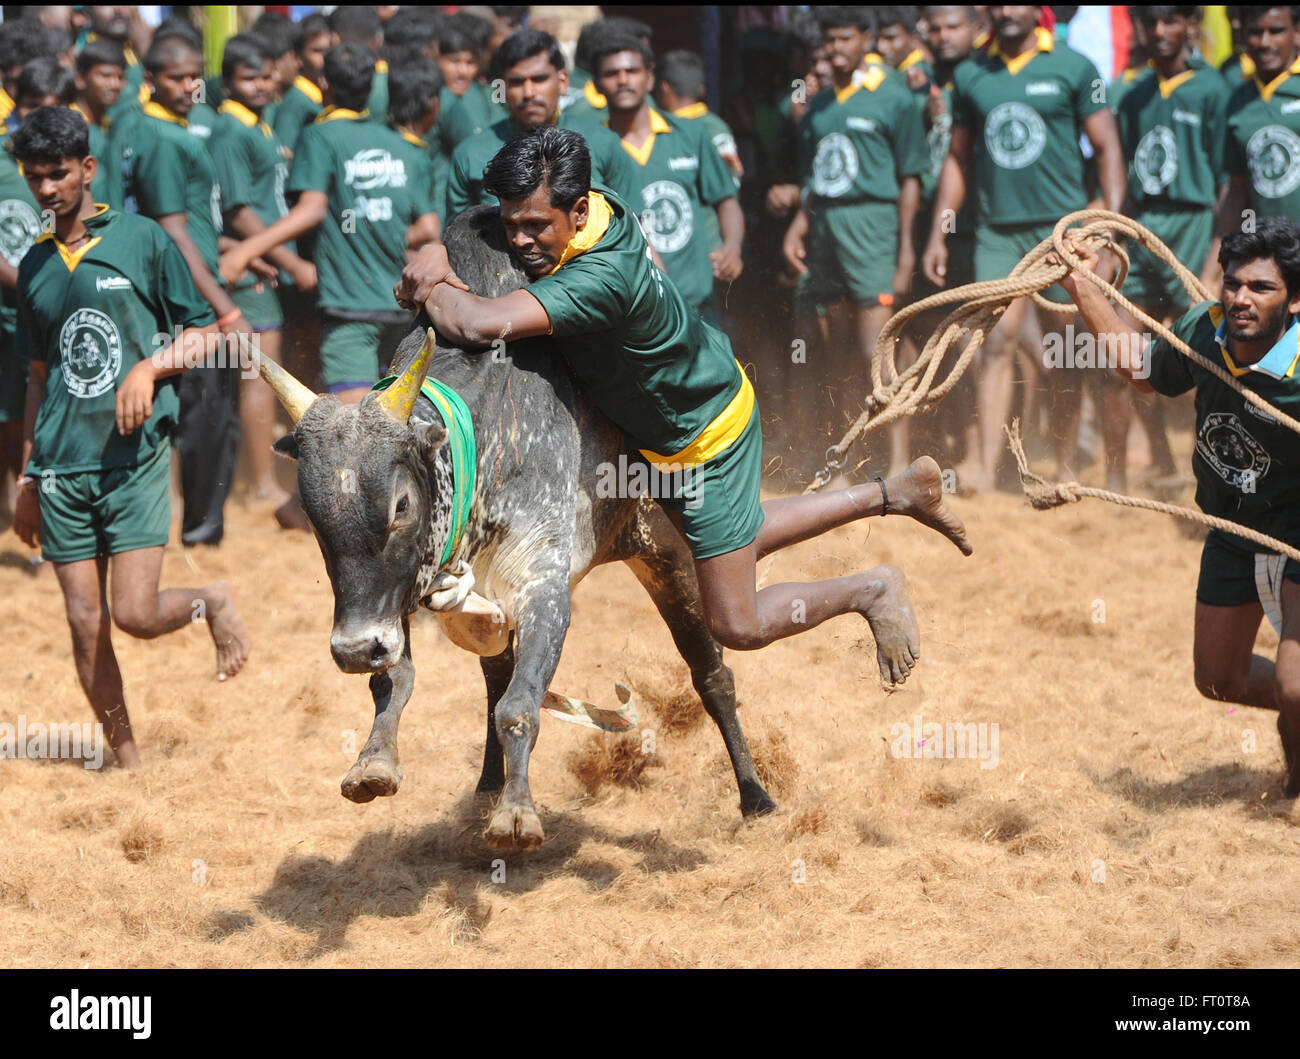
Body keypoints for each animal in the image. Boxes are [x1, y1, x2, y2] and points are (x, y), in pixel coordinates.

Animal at [258, 209, 774, 852]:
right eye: (312, 510)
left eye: (401, 504)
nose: (352, 651)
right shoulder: (398, 595)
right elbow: (399, 679)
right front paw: (375, 763)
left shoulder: (542, 585)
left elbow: (519, 707)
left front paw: (518, 815)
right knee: (493, 677)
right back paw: (486, 785)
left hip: (666, 550)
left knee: (713, 673)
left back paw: (754, 796)